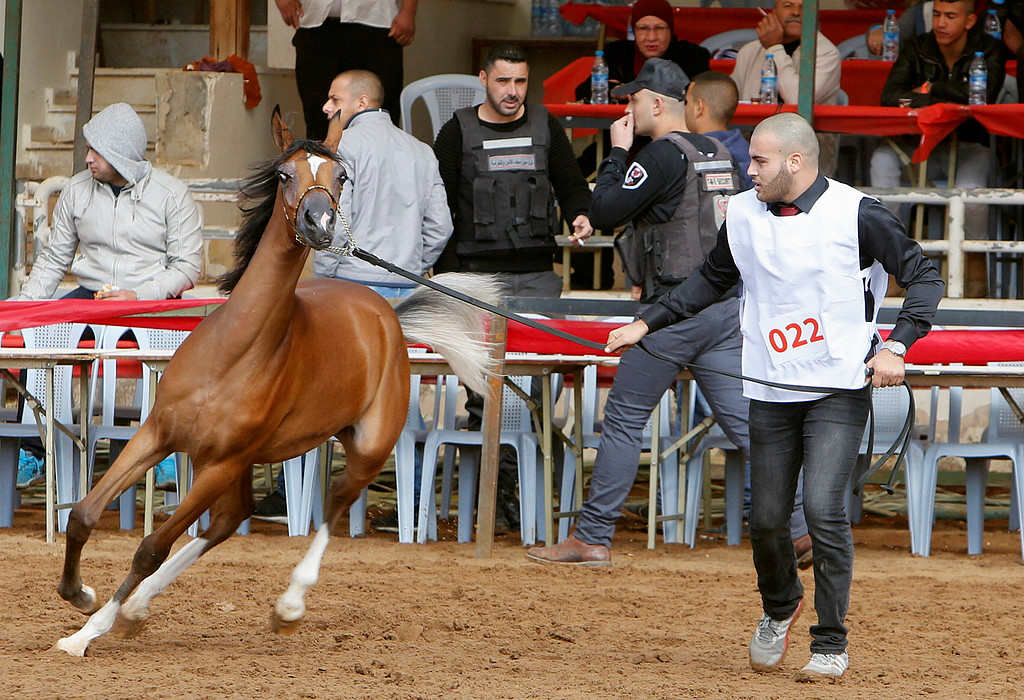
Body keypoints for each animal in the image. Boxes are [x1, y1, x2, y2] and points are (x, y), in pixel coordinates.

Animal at [55, 106, 499, 654]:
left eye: (342, 177)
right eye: (285, 174)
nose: (320, 222)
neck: (235, 352)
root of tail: (387, 316)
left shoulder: (222, 462)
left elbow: (151, 546)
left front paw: (86, 632)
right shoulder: (159, 434)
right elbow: (82, 515)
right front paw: (81, 597)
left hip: (367, 445)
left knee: (335, 502)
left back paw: (288, 605)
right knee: (229, 520)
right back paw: (137, 609)